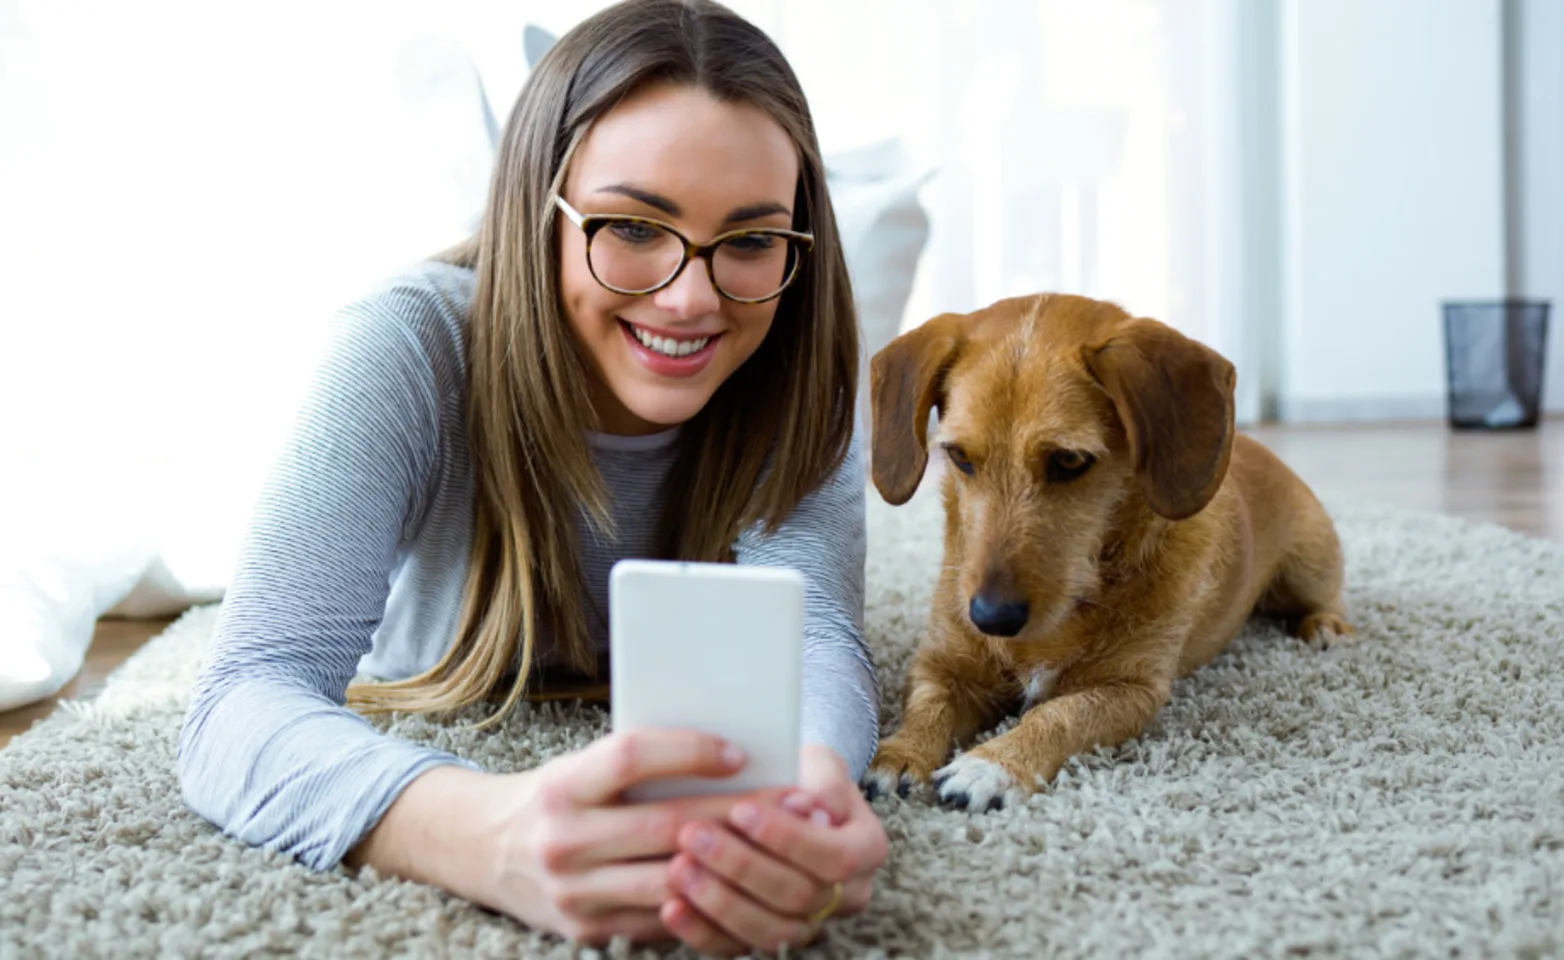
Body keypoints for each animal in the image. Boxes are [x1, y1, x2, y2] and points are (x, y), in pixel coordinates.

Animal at [863, 295, 1351, 813]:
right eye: (958, 457)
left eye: (1069, 461)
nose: (990, 618)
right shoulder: (942, 666)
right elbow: (928, 706)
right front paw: (900, 753)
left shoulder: (1130, 692)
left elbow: (1058, 714)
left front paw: (994, 764)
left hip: (1307, 567)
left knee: (1328, 596)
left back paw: (1326, 625)